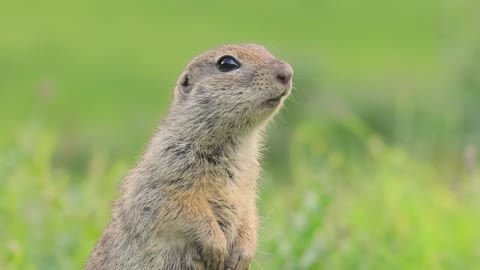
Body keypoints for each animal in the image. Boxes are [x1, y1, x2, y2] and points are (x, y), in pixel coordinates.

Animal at [85, 43, 292, 268]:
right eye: (227, 63)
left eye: (265, 50)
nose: (287, 72)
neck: (235, 142)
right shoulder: (165, 176)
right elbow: (182, 209)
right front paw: (216, 247)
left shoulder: (247, 188)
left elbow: (249, 214)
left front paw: (243, 253)